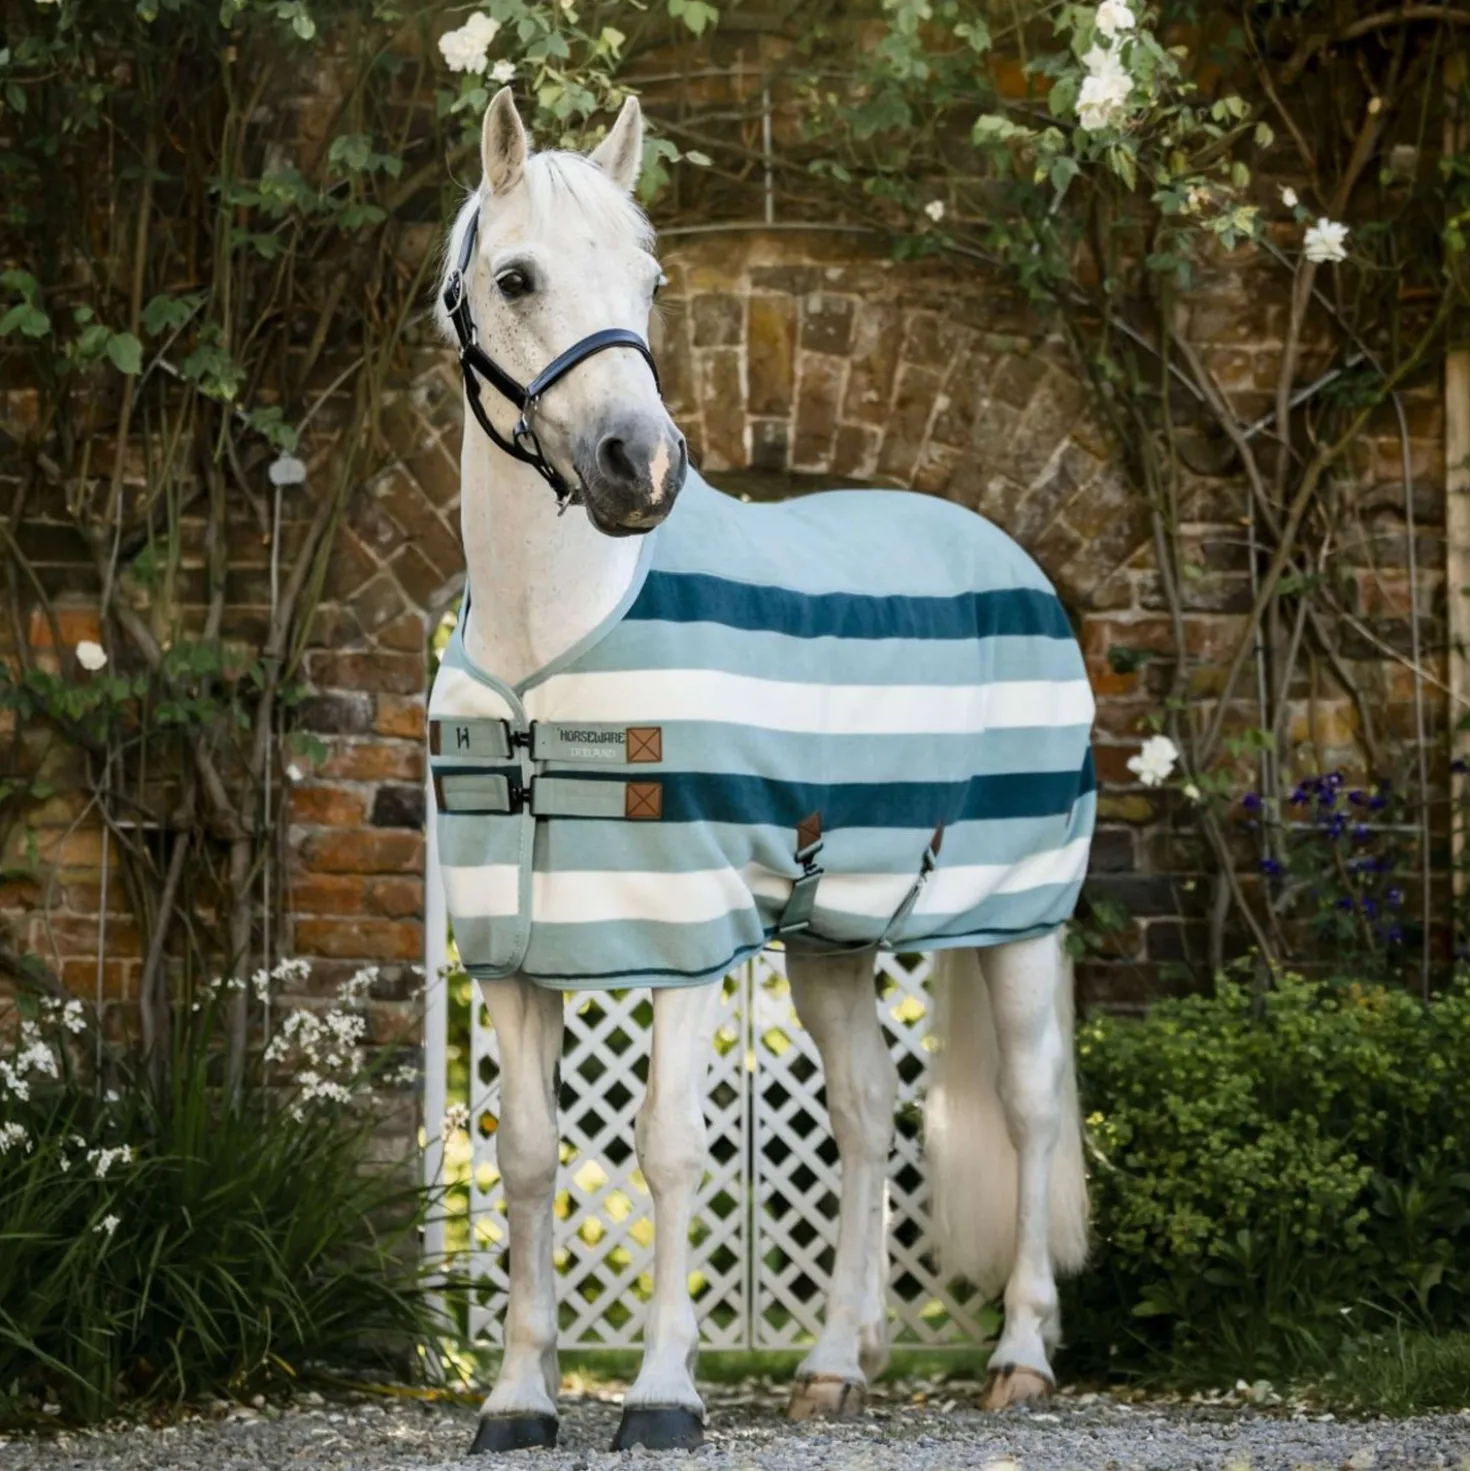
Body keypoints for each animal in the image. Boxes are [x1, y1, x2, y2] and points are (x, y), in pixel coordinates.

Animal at [429, 88, 1094, 1455]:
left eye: (649, 279)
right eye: (515, 278)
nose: (640, 466)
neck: (543, 650)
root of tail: (1009, 558)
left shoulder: (684, 935)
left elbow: (671, 1149)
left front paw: (662, 1395)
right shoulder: (517, 954)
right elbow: (526, 1157)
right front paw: (518, 1399)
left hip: (1016, 917)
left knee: (1030, 1109)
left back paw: (1020, 1355)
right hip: (833, 938)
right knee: (868, 1117)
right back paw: (839, 1362)